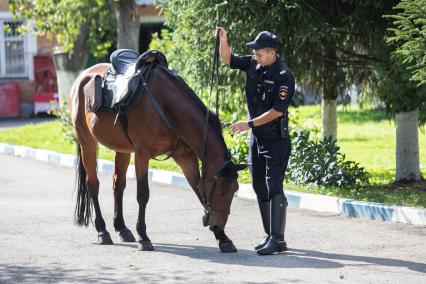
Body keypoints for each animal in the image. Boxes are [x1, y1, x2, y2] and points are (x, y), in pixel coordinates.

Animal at [69, 60, 246, 253]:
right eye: (222, 191)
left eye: (235, 189)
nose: (217, 224)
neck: (165, 105)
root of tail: (83, 76)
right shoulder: (142, 154)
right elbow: (143, 195)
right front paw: (143, 236)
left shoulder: (185, 156)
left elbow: (198, 189)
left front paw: (223, 238)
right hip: (87, 142)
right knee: (93, 185)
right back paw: (102, 231)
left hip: (122, 150)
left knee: (118, 185)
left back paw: (122, 228)